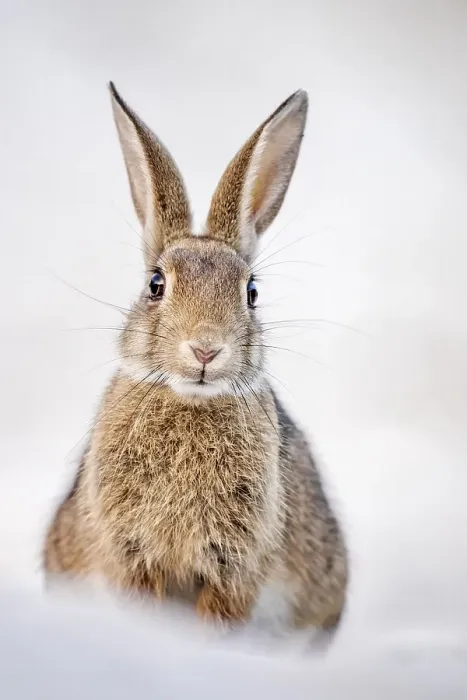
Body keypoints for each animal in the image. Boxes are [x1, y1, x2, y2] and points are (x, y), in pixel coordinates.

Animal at [43, 82, 348, 630]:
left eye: (251, 292)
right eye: (155, 285)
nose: (206, 348)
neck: (190, 401)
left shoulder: (235, 563)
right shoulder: (131, 553)